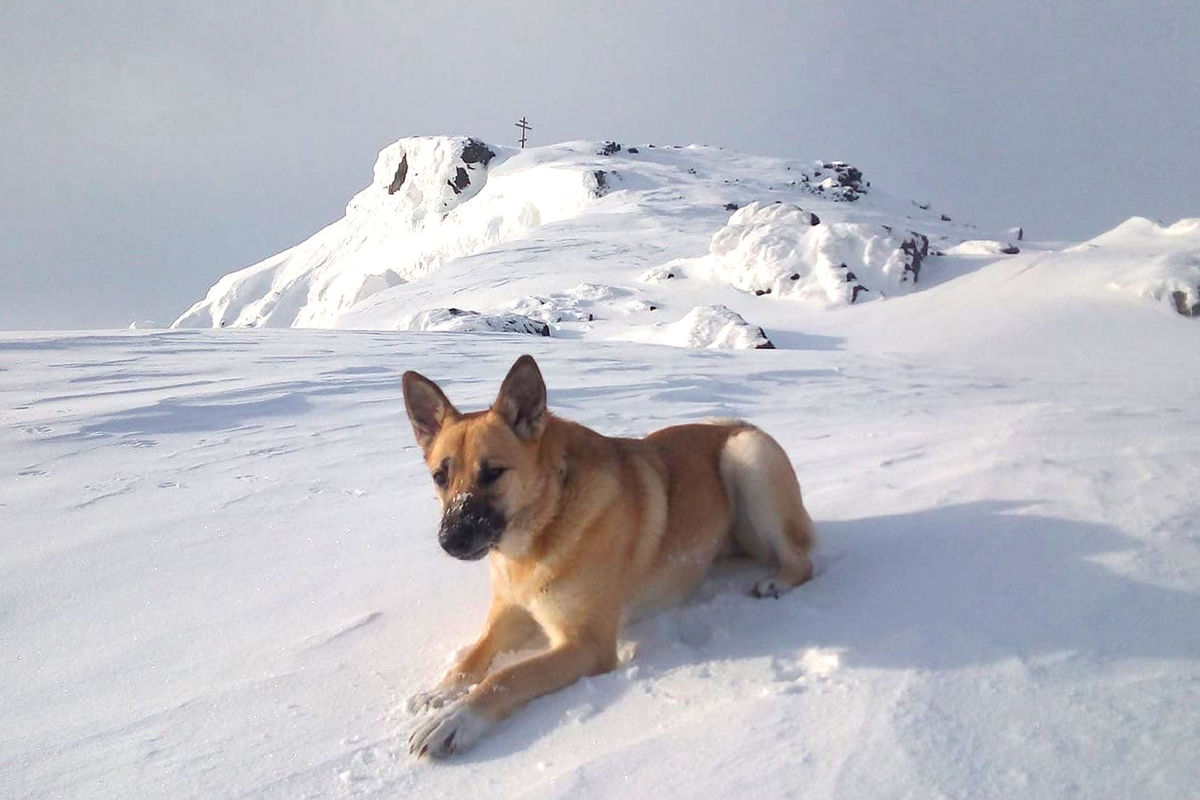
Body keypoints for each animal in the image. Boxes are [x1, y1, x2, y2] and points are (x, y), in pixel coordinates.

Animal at [403, 355, 816, 758]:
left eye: (492, 473)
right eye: (440, 477)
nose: (450, 540)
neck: (546, 521)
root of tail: (742, 425)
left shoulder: (585, 644)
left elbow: (506, 677)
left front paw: (456, 719)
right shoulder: (512, 611)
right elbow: (474, 656)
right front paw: (441, 692)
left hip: (748, 460)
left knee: (802, 560)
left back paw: (776, 581)